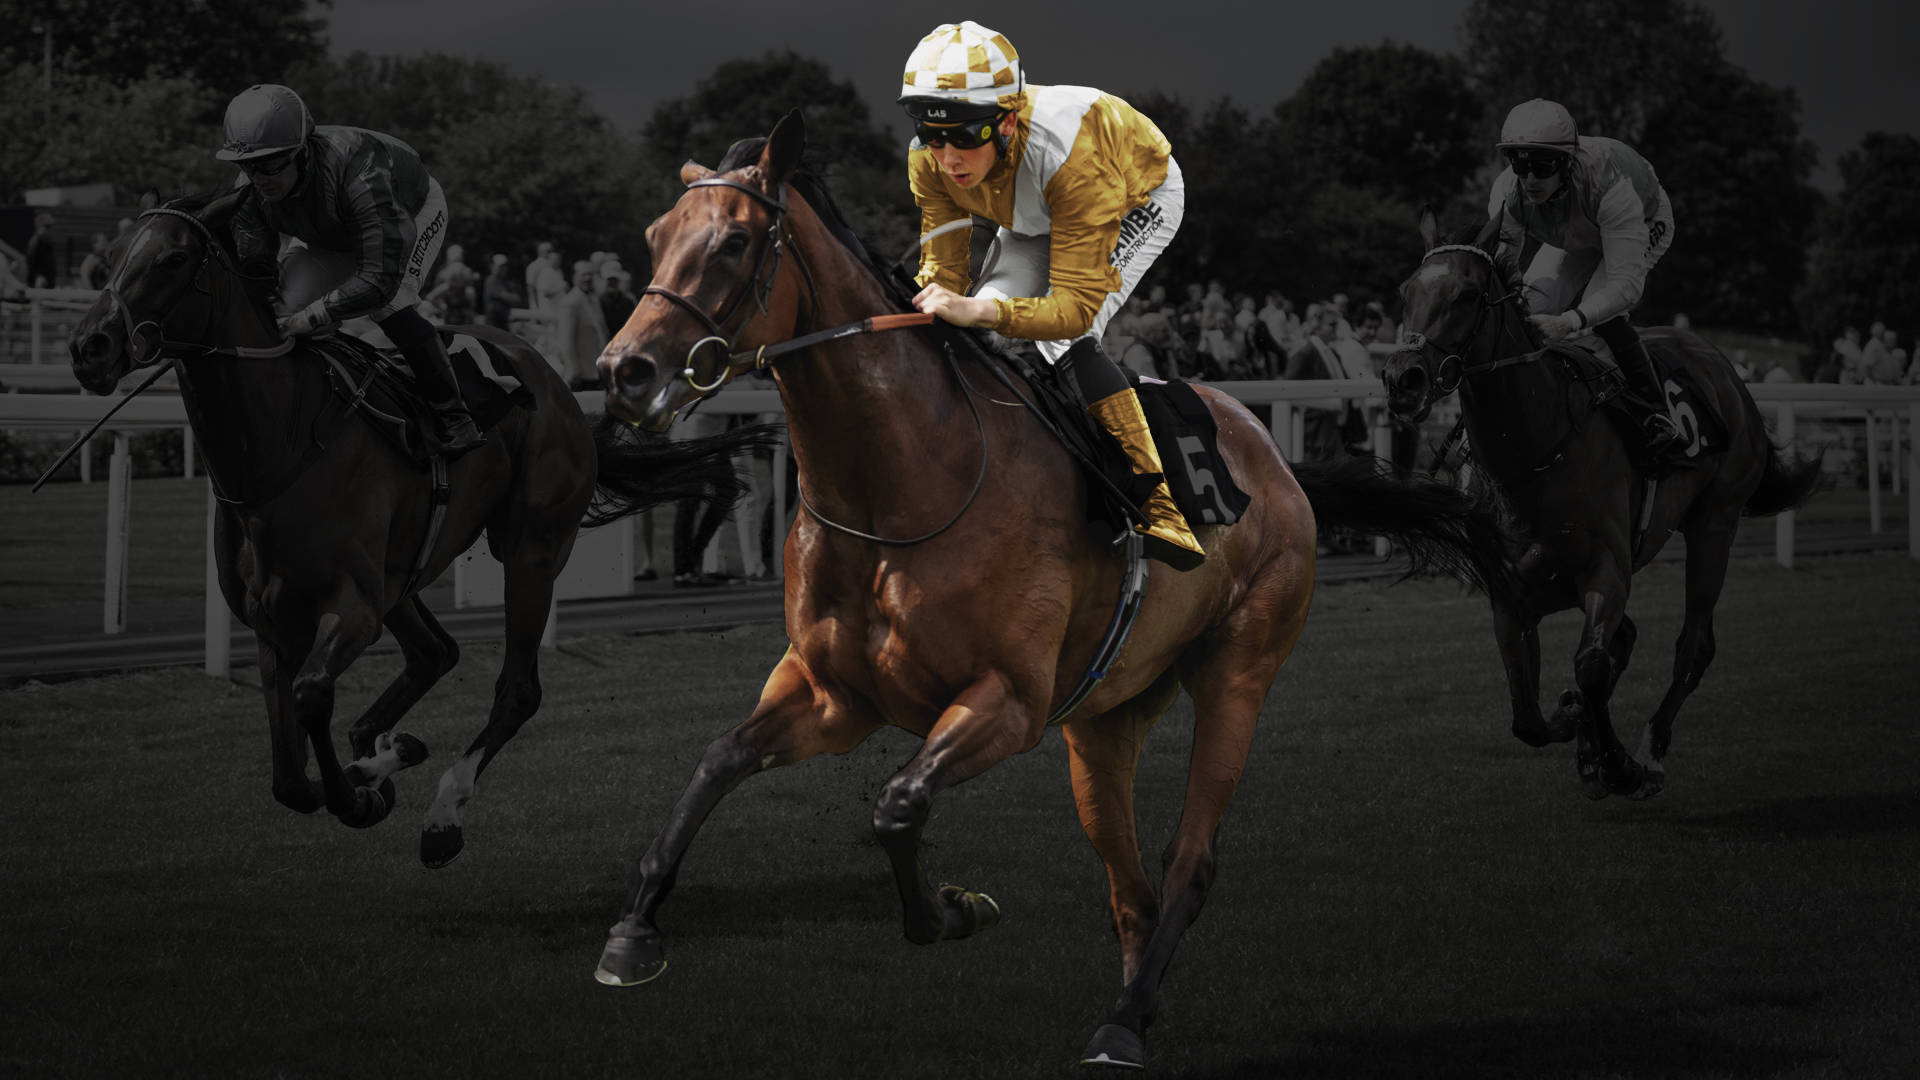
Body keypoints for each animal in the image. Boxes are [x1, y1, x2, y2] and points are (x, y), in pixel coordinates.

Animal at [66, 188, 766, 866]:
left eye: (174, 259)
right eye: (118, 253)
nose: (88, 347)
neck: (281, 447)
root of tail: (554, 381)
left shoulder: (353, 607)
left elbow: (313, 697)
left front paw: (360, 795)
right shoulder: (273, 624)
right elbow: (289, 779)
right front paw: (371, 770)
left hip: (530, 551)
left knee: (516, 689)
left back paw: (440, 813)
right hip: (403, 576)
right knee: (435, 652)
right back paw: (385, 753)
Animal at [588, 111, 1516, 1070]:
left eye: (734, 242)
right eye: (655, 237)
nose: (623, 370)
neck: (903, 478)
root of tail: (1276, 459)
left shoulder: (1009, 700)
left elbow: (897, 806)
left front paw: (952, 911)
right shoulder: (832, 693)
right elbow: (720, 758)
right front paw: (633, 935)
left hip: (1239, 672)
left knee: (1189, 859)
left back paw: (1123, 1021)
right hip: (1105, 722)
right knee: (1130, 885)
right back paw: (1133, 1007)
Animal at [1381, 209, 1822, 800]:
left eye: (1468, 295)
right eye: (1406, 291)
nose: (1402, 379)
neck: (1534, 451)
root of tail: (1722, 365)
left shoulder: (1606, 573)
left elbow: (1590, 665)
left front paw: (1618, 764)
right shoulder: (1512, 596)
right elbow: (1528, 717)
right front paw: (1577, 728)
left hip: (1716, 523)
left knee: (1693, 644)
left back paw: (1650, 751)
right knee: (1628, 641)